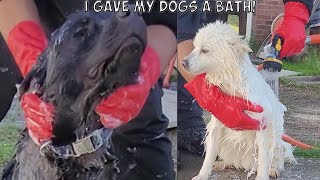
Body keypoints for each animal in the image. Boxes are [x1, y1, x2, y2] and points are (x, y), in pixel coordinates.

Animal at [182, 21, 296, 180]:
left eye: (204, 50)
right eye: (194, 47)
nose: (183, 62)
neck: (232, 86)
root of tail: (244, 164)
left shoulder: (263, 126)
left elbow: (263, 160)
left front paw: (263, 176)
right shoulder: (217, 126)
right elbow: (209, 155)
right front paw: (202, 175)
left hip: (279, 143)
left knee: (275, 160)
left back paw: (273, 170)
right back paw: (221, 164)